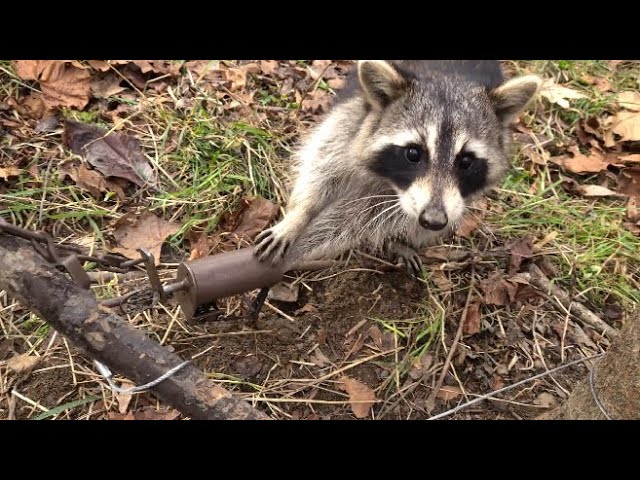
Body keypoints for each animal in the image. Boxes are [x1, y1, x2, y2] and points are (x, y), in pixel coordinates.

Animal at [254, 61, 540, 274]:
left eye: (466, 162)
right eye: (413, 153)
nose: (433, 219)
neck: (449, 79)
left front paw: (398, 239)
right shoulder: (353, 119)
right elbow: (322, 166)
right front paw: (297, 216)